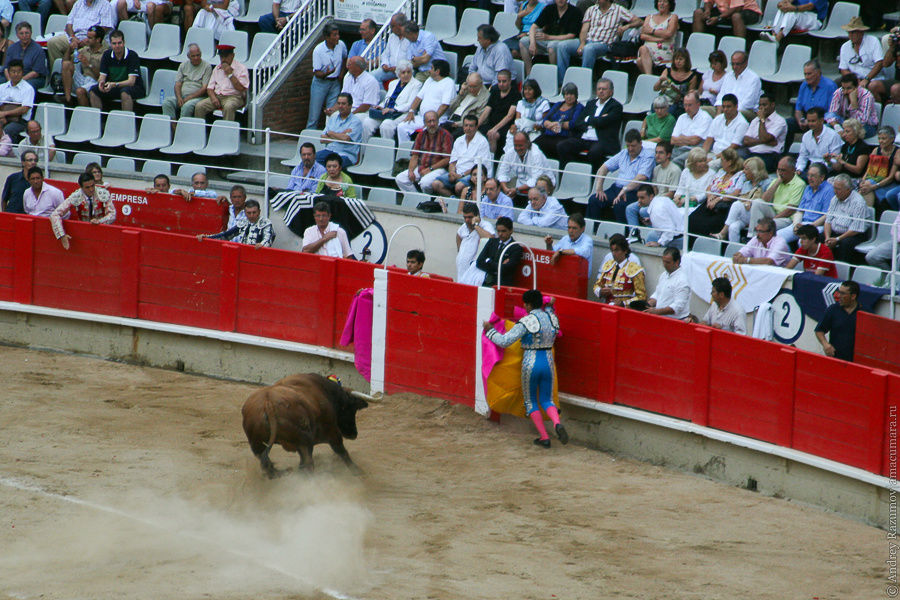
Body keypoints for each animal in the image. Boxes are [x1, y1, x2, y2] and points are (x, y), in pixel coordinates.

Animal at [239, 372, 376, 476]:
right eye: (352, 409)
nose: (353, 434)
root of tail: (269, 403)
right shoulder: (332, 432)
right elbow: (342, 451)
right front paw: (358, 472)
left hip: (257, 445)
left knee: (269, 466)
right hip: (305, 442)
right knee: (307, 464)